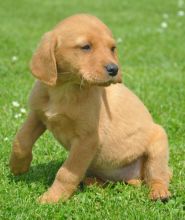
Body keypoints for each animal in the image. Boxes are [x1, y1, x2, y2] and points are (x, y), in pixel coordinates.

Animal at [9, 13, 171, 203]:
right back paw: (91, 182)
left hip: (159, 143)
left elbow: (66, 173)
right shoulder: (37, 115)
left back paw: (159, 192)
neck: (64, 89)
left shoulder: (87, 139)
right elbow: (21, 140)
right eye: (86, 47)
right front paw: (18, 167)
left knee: (158, 175)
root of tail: (131, 177)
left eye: (112, 48)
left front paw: (52, 198)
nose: (114, 69)